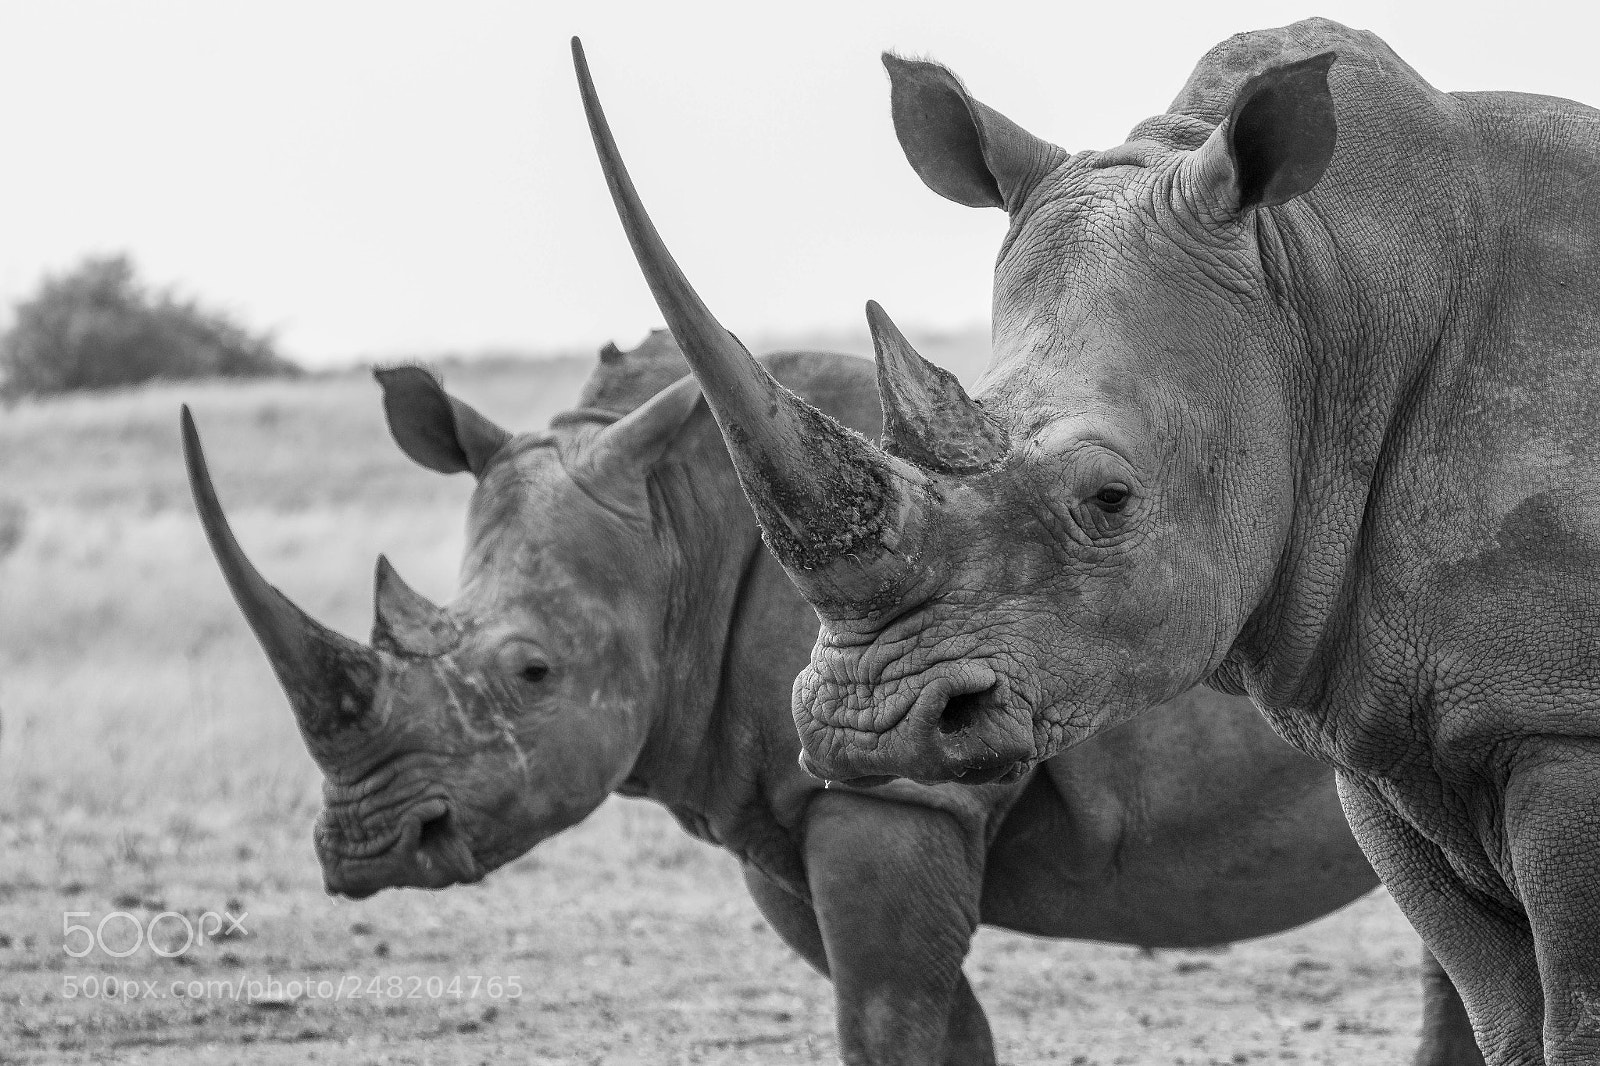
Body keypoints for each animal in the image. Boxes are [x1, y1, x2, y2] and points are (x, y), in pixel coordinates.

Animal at [181, 331, 1478, 1064]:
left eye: (532, 674)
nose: (364, 848)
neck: (682, 526)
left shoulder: (891, 792)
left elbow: (886, 1020)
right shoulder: (779, 807)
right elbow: (936, 1025)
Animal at [575, 16, 1600, 1066]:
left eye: (1109, 499)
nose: (868, 725)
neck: (1318, 292)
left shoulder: (1561, 721)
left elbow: (1577, 1008)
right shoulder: (1381, 730)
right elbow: (1507, 1009)